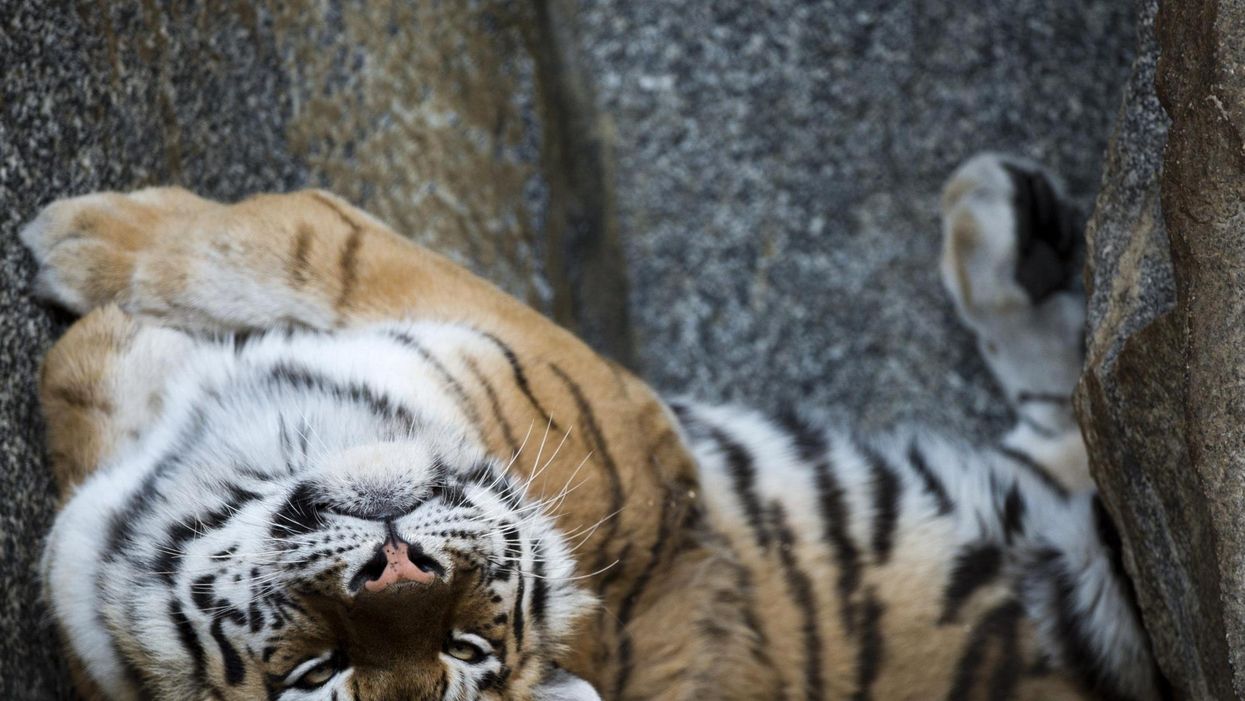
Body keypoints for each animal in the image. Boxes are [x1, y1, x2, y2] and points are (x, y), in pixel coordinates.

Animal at [21, 152, 1164, 700]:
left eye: (468, 642)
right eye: (317, 672)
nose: (400, 563)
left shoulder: (578, 379)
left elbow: (316, 233)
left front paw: (75, 236)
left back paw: (1006, 227)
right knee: (1080, 429)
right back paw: (1005, 230)